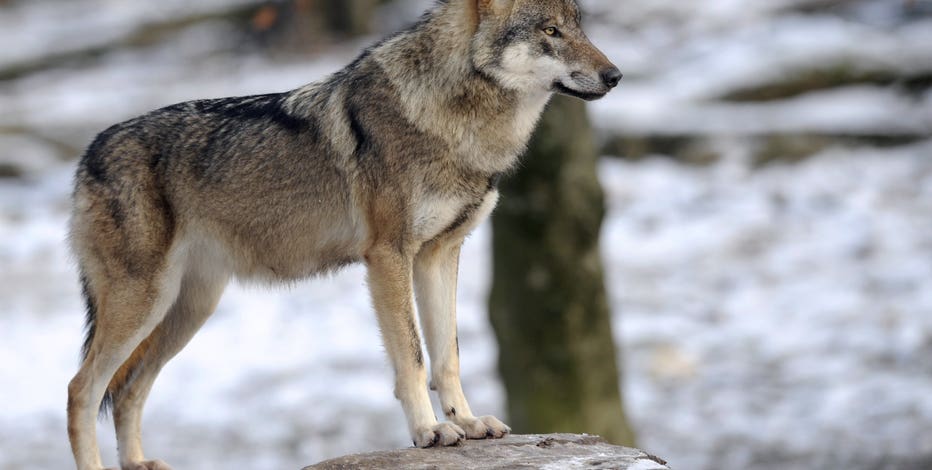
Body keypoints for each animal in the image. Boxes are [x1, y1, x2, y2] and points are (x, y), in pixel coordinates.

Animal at [66, 0, 620, 468]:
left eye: (580, 25)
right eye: (549, 31)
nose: (615, 76)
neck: (454, 118)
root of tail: (87, 154)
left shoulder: (440, 254)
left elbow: (448, 355)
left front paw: (466, 421)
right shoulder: (389, 256)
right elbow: (413, 356)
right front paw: (430, 431)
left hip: (187, 311)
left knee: (128, 392)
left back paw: (138, 462)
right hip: (145, 304)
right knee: (81, 391)